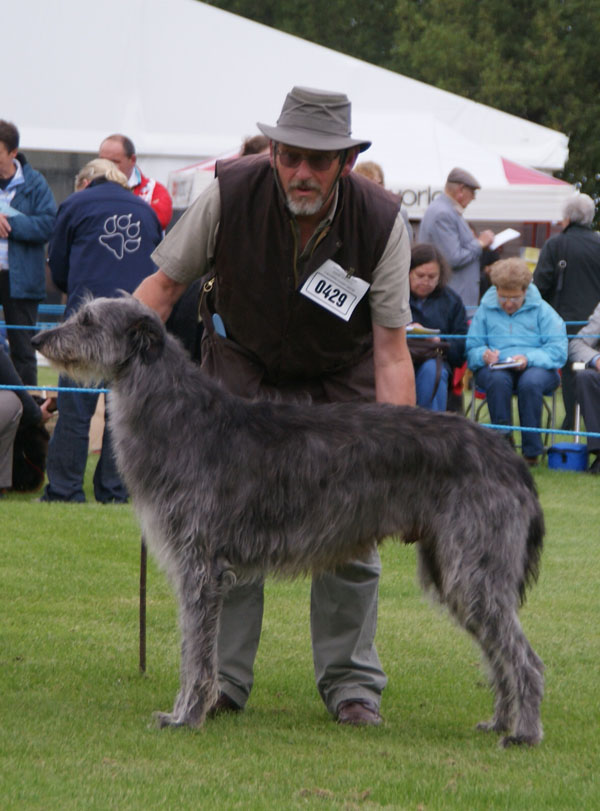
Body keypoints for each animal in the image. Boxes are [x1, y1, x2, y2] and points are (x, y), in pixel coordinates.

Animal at [31, 294, 544, 744]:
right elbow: (197, 649)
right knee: (500, 652)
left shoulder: (200, 568)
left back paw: (523, 734)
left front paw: (185, 717)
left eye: (88, 321)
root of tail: (507, 455)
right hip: (454, 569)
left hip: (473, 567)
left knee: (526, 659)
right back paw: (500, 722)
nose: (39, 338)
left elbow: (195, 654)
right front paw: (191, 711)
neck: (180, 416)